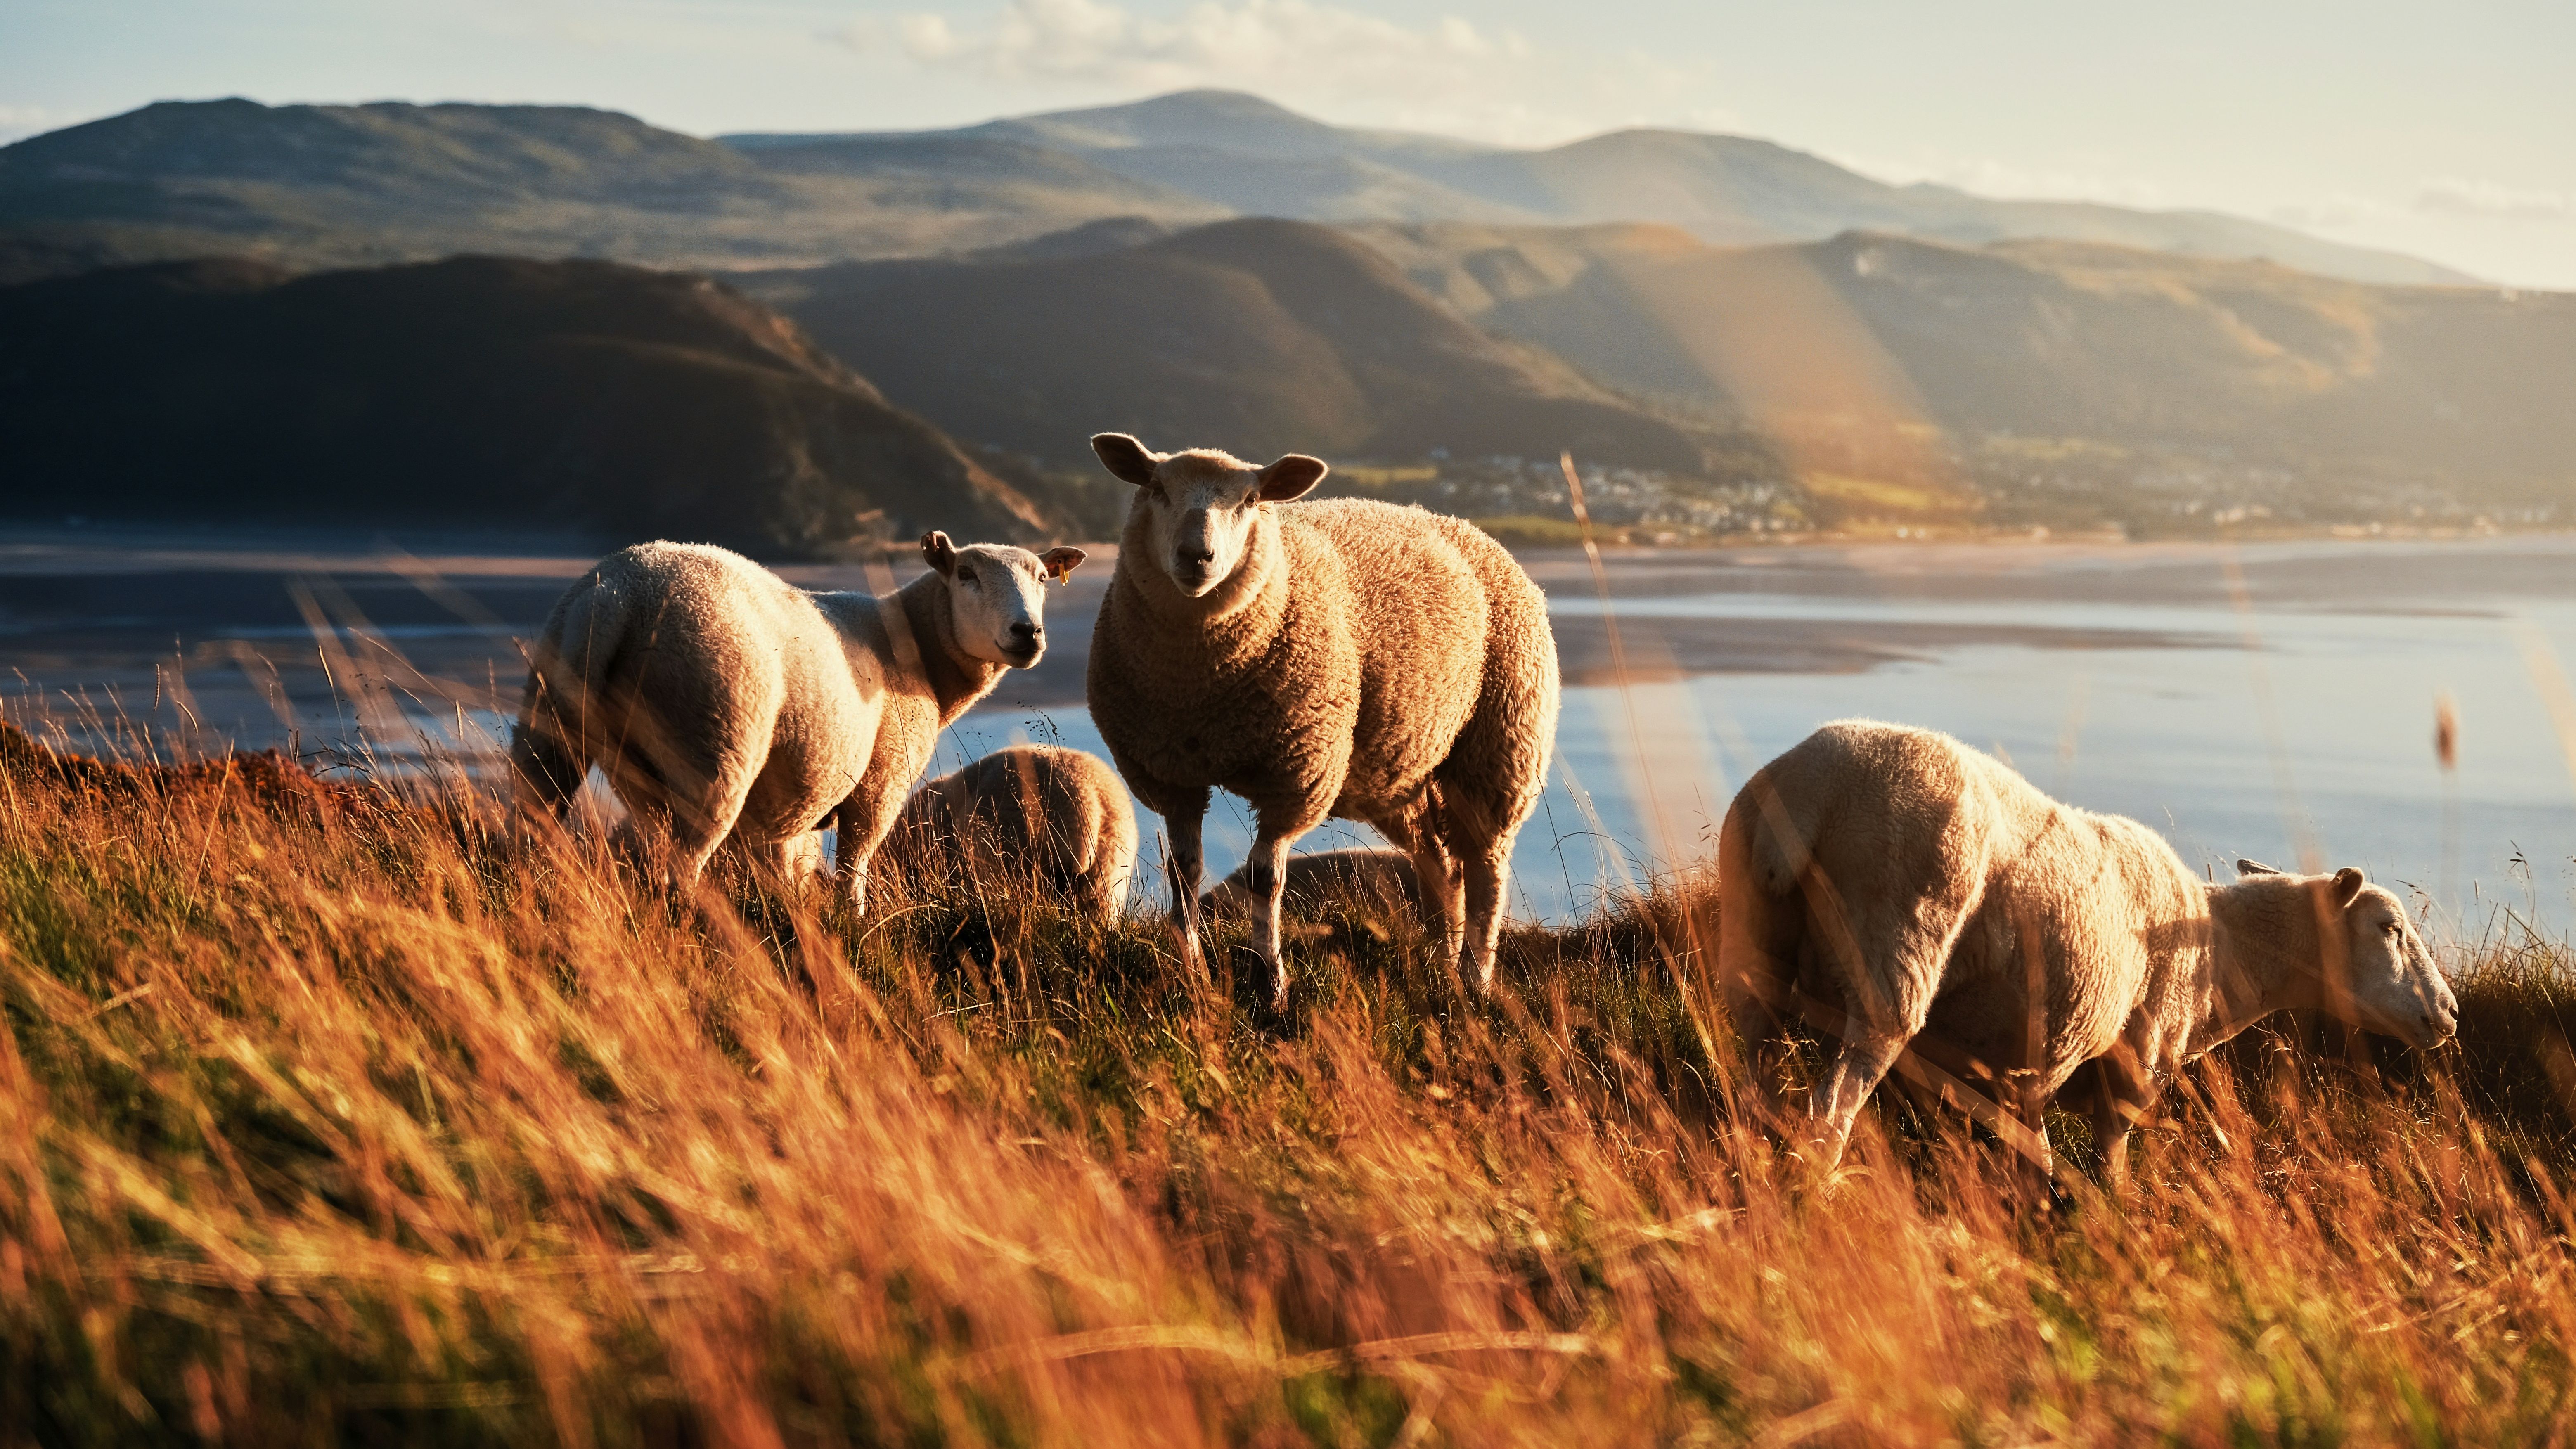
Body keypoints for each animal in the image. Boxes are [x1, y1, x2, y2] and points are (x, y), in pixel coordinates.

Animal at [510, 533, 1086, 907]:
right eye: (967, 574)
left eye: (1043, 578)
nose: (1027, 633)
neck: (915, 647)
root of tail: (619, 595)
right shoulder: (879, 783)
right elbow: (853, 875)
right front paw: (855, 930)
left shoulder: (782, 812)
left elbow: (784, 874)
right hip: (715, 734)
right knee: (678, 872)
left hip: (550, 725)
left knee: (534, 827)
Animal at [1084, 432, 1560, 1009]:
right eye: (1156, 488)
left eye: (1250, 500)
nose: (1196, 556)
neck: (1203, 688)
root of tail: (1469, 528)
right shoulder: (1171, 775)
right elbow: (1184, 873)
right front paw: (1192, 973)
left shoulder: (1296, 775)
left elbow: (1265, 878)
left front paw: (1271, 983)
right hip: (1398, 772)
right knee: (1440, 864)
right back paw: (1440, 963)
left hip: (1501, 747)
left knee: (1487, 867)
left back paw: (1474, 979)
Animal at [1716, 719, 2458, 1181]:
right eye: (2390, 927)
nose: (2450, 1014)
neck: (2221, 953)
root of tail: (1810, 791)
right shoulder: (2130, 1073)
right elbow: (2106, 1172)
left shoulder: (2004, 1076)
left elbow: (2030, 1160)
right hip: (1897, 946)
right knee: (1833, 1110)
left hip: (1756, 945)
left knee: (1750, 1077)